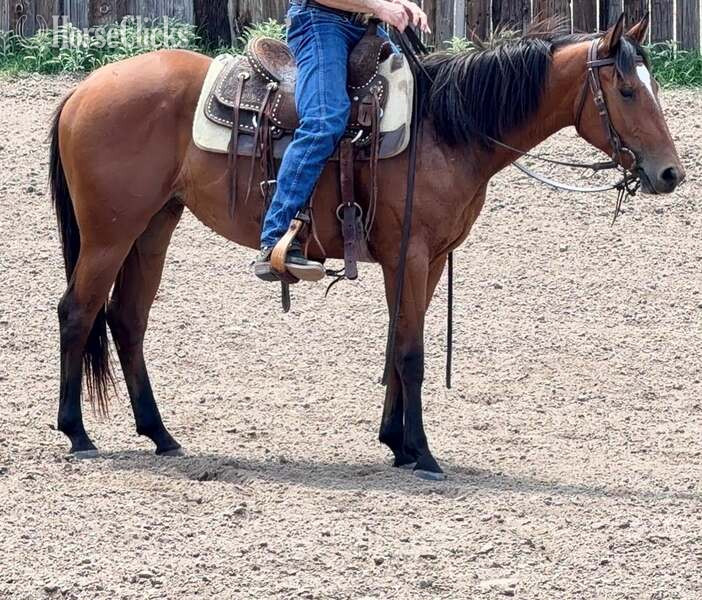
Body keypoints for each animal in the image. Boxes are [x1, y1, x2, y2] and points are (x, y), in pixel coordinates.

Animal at [48, 14, 684, 479]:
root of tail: (84, 89)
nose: (670, 174)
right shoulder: (411, 252)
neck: (445, 127)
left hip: (153, 227)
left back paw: (161, 435)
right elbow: (412, 354)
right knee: (77, 312)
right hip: (110, 233)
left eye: (653, 86)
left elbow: (398, 343)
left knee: (127, 320)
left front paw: (396, 443)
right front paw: (423, 454)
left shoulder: (427, 260)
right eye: (628, 89)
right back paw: (77, 433)